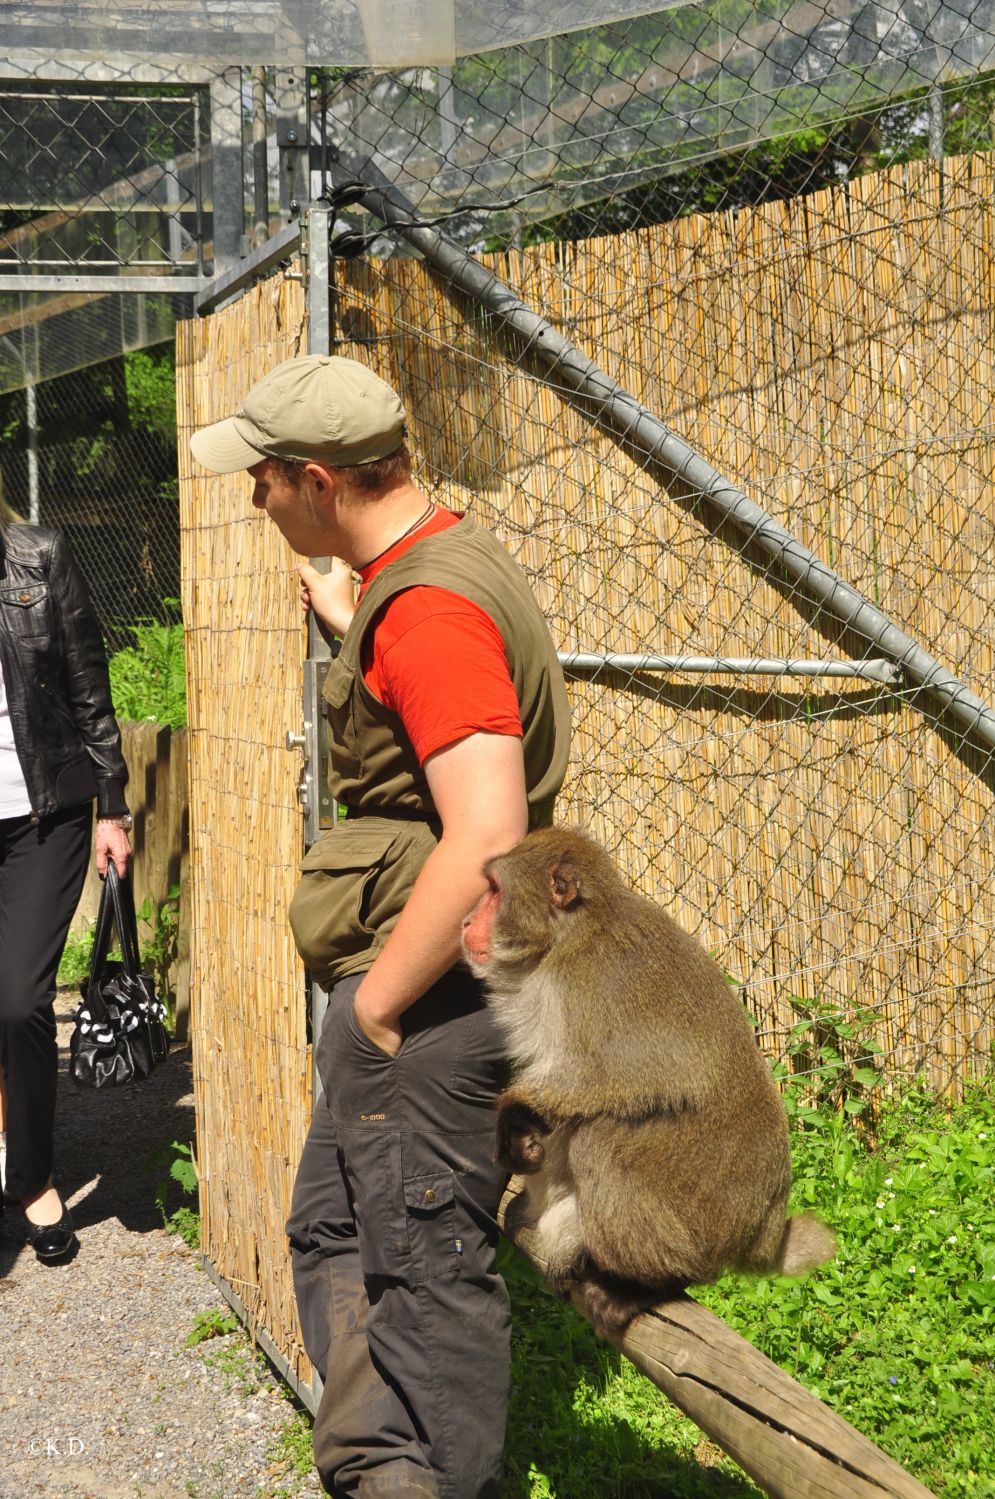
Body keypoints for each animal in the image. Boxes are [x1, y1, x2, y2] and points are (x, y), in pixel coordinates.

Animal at [461, 833, 833, 1337]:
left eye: (494, 890)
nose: (465, 920)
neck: (568, 937)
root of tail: (763, 1233)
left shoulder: (591, 983)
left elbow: (657, 1075)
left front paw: (514, 1109)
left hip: (700, 1212)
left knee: (599, 1139)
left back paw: (650, 1283)